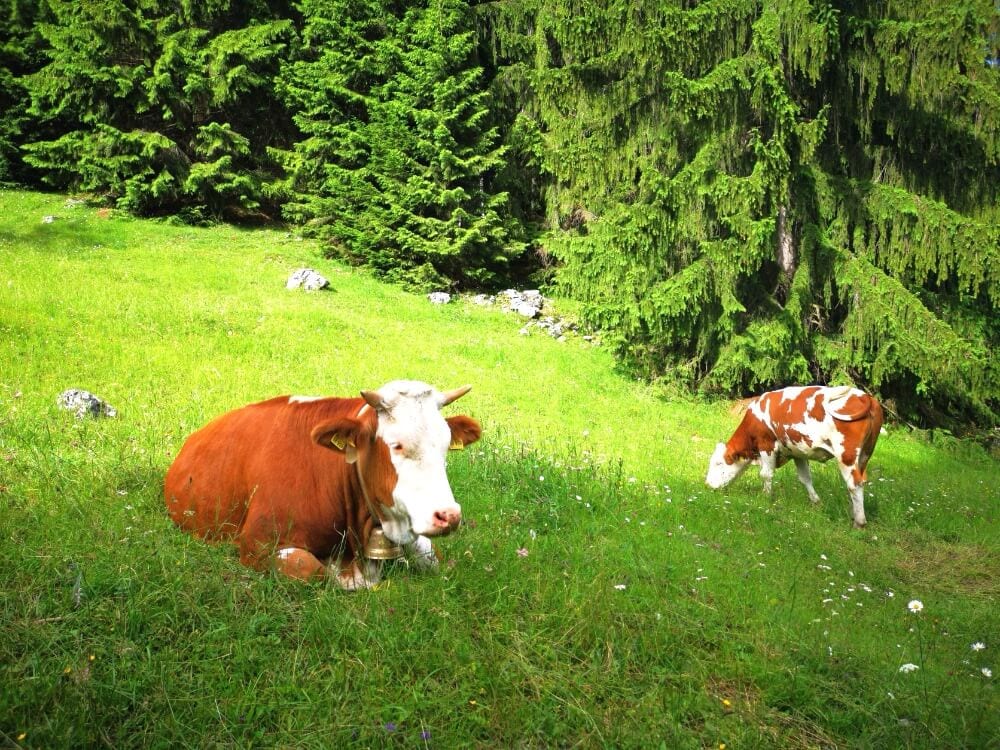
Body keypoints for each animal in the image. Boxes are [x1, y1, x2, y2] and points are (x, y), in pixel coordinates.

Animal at [162, 382, 482, 588]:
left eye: (445, 444)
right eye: (397, 445)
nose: (449, 515)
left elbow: (432, 557)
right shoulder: (257, 543)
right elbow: (313, 570)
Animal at [704, 388, 884, 528]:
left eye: (718, 463)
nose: (708, 484)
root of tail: (865, 396)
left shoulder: (766, 444)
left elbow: (765, 474)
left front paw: (765, 497)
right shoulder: (798, 452)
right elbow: (805, 478)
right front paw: (816, 502)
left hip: (846, 454)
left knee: (854, 484)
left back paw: (859, 522)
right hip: (864, 454)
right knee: (861, 480)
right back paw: (854, 512)